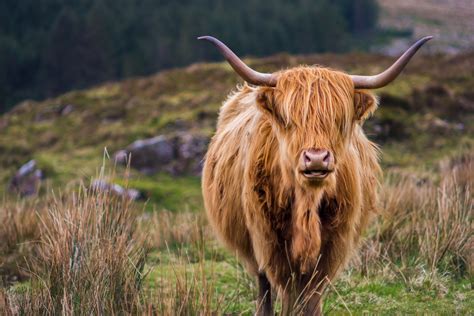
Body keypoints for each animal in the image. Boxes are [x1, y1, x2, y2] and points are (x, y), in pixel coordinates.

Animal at [198, 35, 432, 314]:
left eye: (338, 120)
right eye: (290, 119)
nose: (317, 158)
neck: (307, 202)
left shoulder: (332, 245)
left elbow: (312, 294)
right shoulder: (270, 242)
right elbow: (288, 291)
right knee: (263, 284)